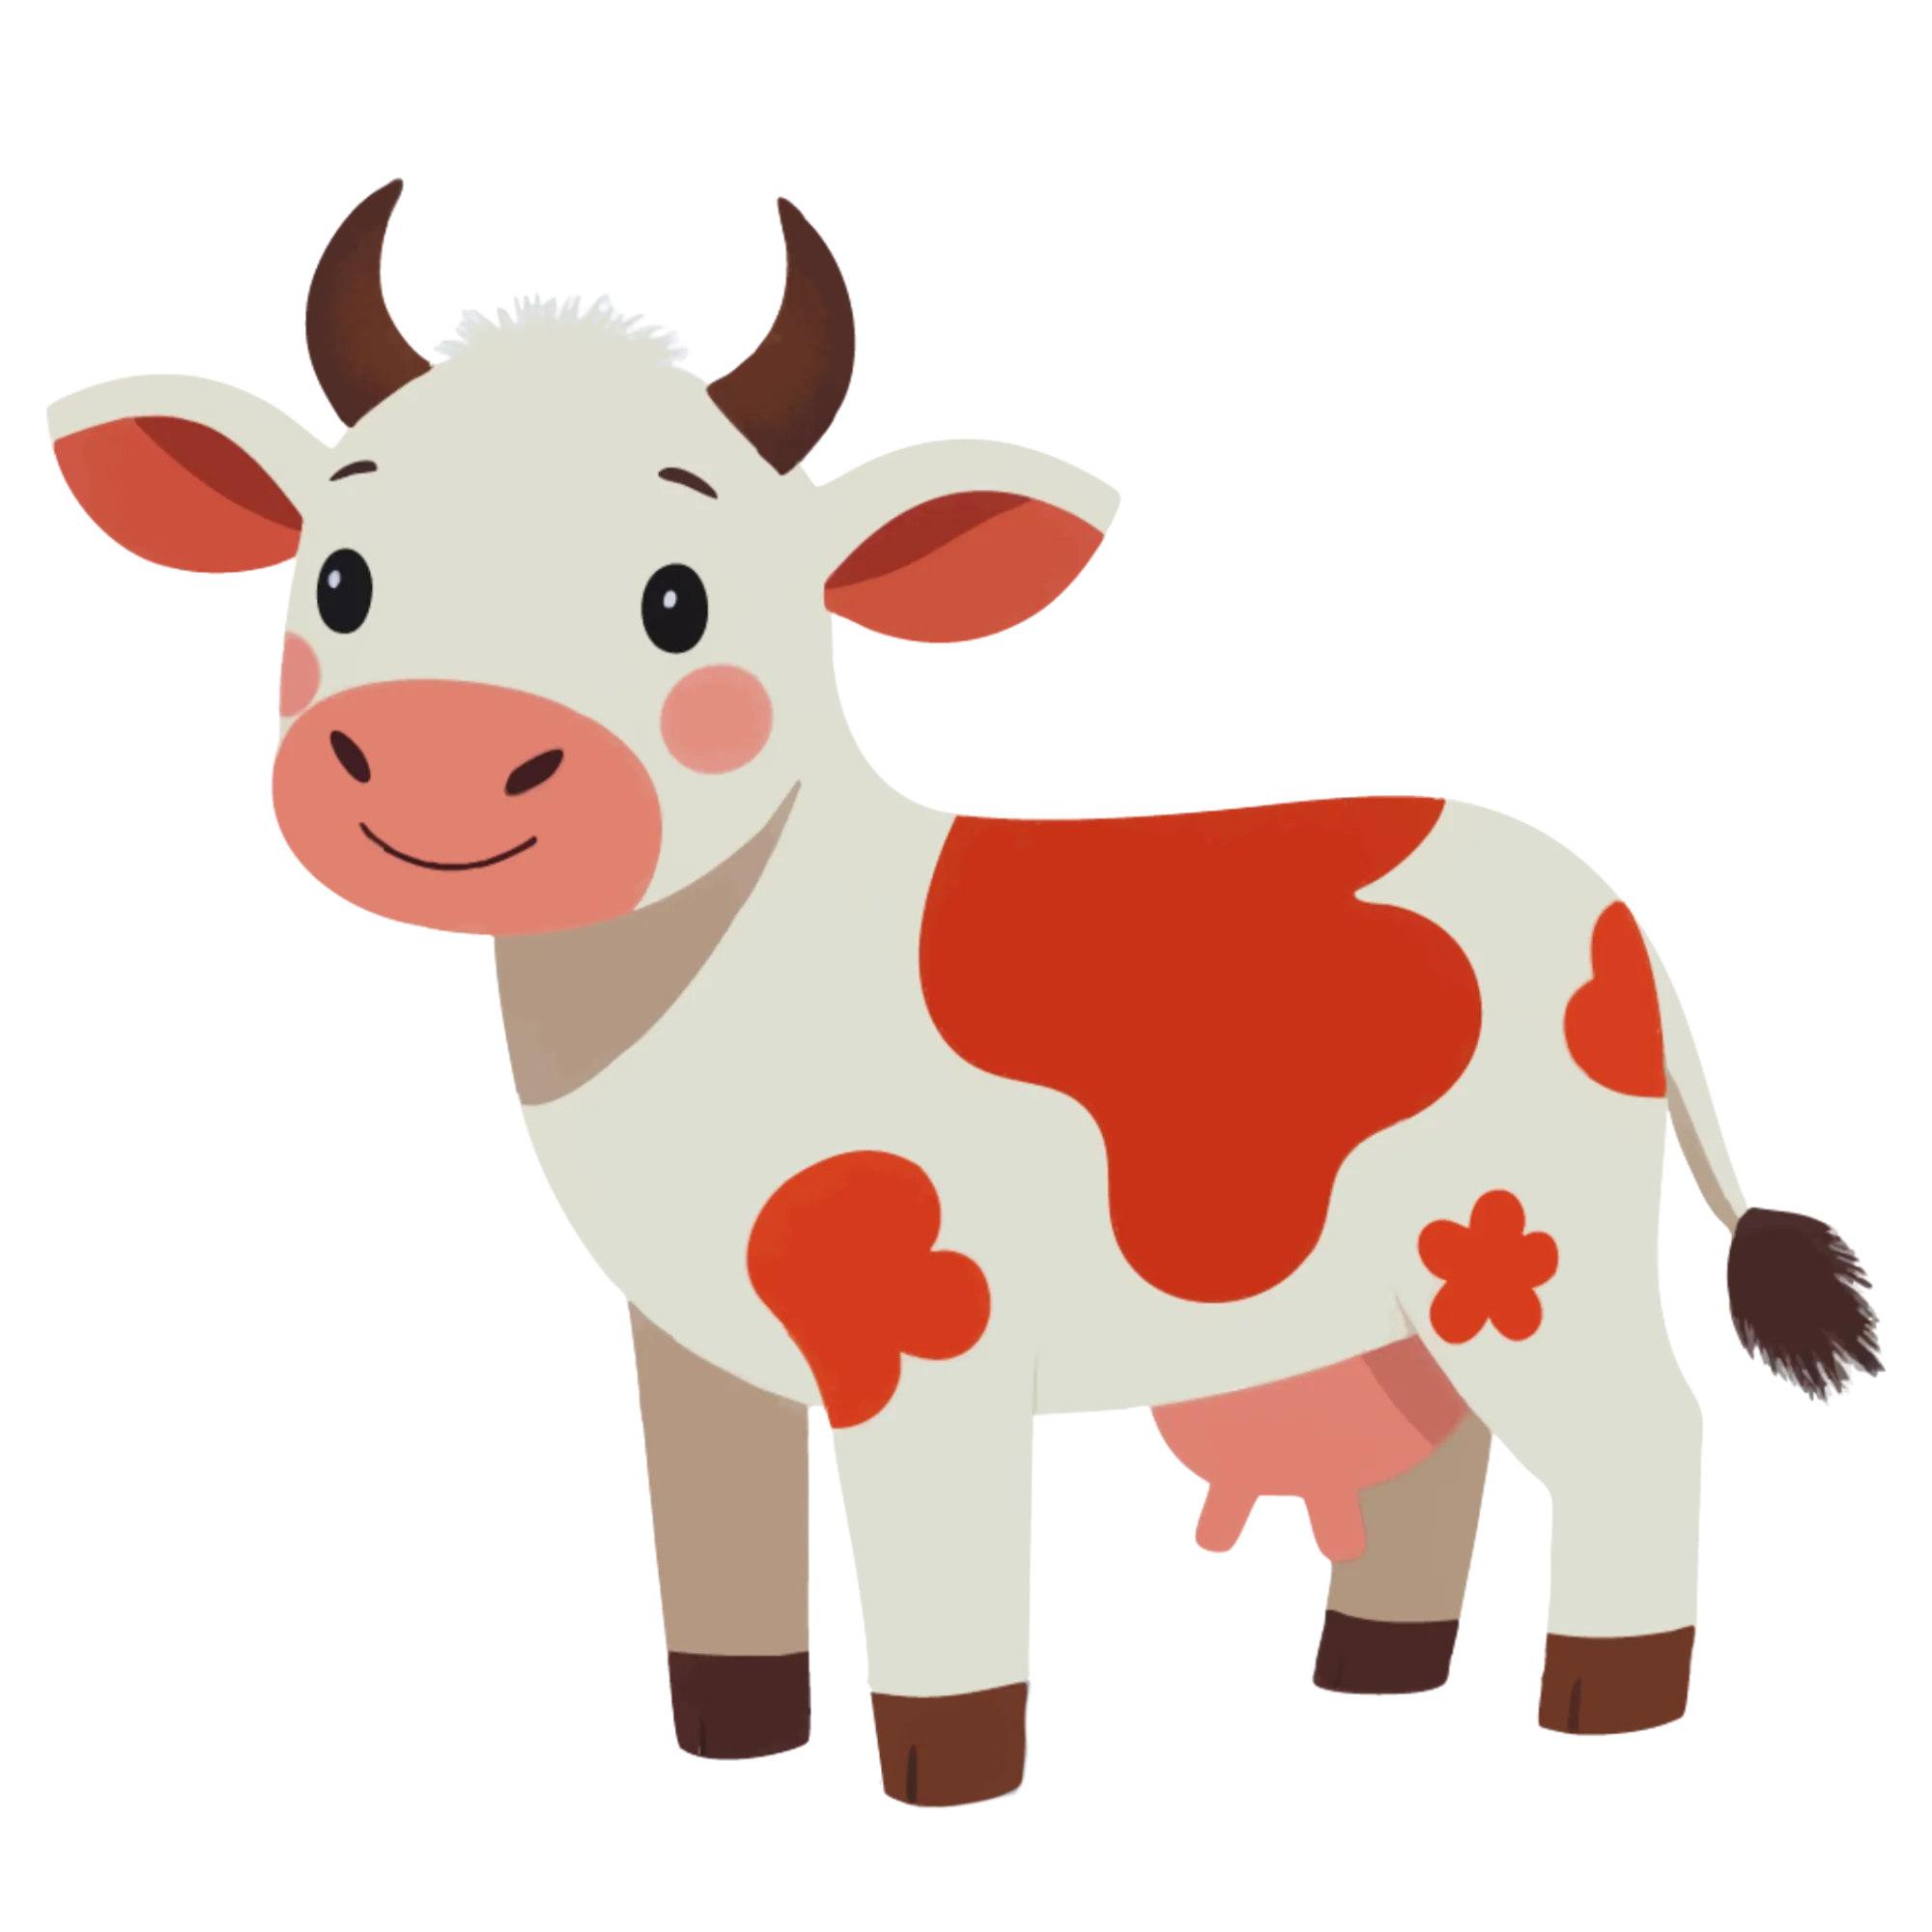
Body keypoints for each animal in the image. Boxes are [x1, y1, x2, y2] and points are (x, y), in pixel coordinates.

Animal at [44, 179, 1883, 1807]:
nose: (437, 755)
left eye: (677, 600)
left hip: (1532, 1244)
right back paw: (1373, 1673)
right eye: (340, 580)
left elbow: (933, 1560)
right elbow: (715, 1543)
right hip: (1404, 1284)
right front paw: (732, 1737)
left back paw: (1607, 1696)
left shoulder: (927, 1318)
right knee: (1438, 1448)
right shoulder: (686, 1337)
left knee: (1643, 1431)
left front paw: (945, 1772)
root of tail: (1612, 909)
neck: (709, 994)